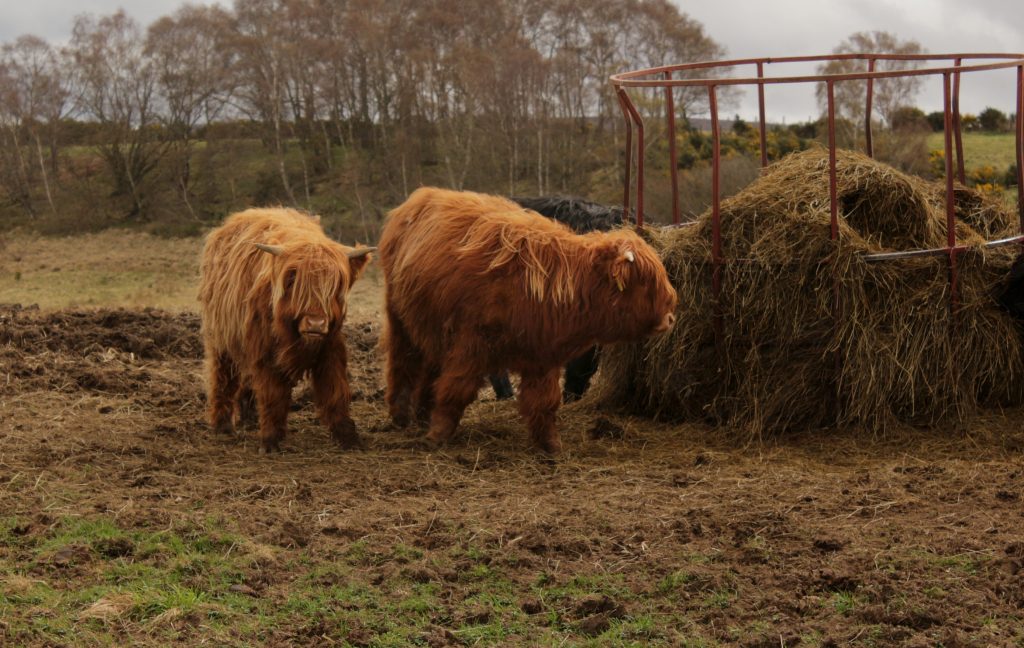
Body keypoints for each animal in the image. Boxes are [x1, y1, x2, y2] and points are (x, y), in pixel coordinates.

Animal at [197, 206, 374, 450]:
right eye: (292, 282)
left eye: (336, 284)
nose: (316, 324)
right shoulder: (265, 351)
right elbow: (273, 394)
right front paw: (271, 440)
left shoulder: (330, 346)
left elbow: (336, 389)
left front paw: (348, 437)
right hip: (222, 337)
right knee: (223, 377)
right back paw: (223, 426)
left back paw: (250, 418)